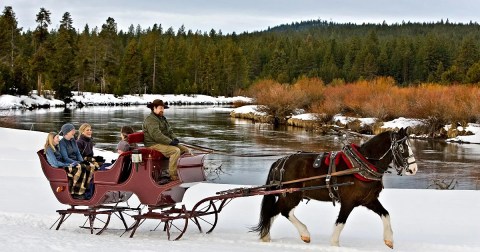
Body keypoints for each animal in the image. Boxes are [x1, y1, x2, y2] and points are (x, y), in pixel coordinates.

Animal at [253, 128, 418, 248]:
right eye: (402, 147)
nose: (414, 169)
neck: (362, 165)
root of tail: (280, 162)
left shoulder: (369, 199)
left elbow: (386, 214)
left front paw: (389, 240)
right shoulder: (348, 202)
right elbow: (340, 222)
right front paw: (334, 244)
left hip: (288, 195)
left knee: (274, 212)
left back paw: (266, 236)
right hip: (291, 195)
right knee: (282, 211)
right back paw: (303, 233)